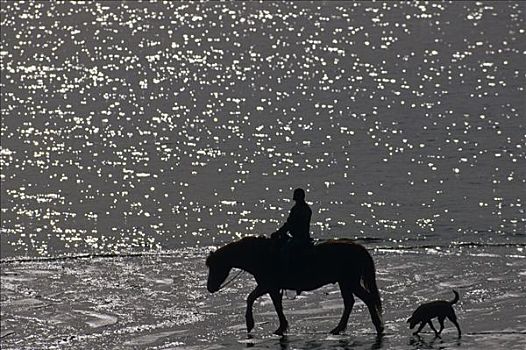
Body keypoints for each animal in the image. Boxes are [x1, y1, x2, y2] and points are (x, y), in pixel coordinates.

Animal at [205, 237, 384, 334]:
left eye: (214, 266)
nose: (210, 288)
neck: (261, 255)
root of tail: (358, 248)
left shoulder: (267, 285)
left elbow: (250, 298)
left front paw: (250, 323)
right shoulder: (272, 288)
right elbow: (277, 306)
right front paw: (282, 327)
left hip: (350, 282)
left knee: (366, 299)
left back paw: (378, 326)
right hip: (344, 282)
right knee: (349, 303)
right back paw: (338, 328)